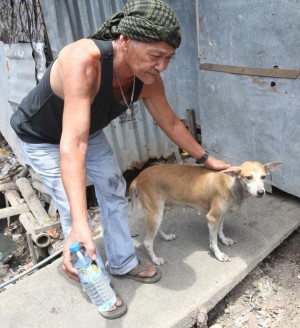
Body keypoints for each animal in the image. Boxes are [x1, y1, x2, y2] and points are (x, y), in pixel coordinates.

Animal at [129, 160, 282, 266]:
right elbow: (213, 241)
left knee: (158, 229)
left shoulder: (221, 215)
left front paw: (224, 240)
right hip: (155, 214)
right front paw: (218, 254)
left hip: (159, 212)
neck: (232, 184)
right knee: (147, 242)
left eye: (263, 177)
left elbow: (220, 230)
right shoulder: (212, 218)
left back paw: (166, 237)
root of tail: (139, 177)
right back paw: (155, 260)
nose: (261, 192)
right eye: (248, 177)